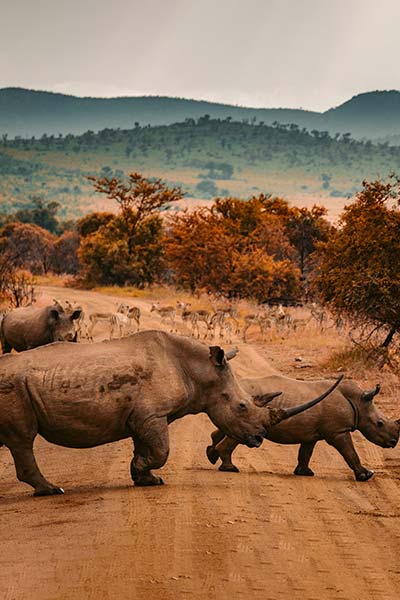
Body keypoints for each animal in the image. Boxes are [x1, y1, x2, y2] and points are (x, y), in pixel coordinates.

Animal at [0, 330, 342, 494]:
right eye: (242, 406)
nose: (259, 439)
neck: (199, 371)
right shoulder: (151, 415)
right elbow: (162, 450)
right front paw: (144, 472)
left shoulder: (142, 416)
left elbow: (147, 448)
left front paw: (145, 478)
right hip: (14, 387)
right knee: (23, 439)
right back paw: (52, 491)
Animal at [206, 376, 400, 482]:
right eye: (380, 423)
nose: (393, 442)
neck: (359, 402)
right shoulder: (338, 431)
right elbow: (350, 452)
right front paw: (366, 476)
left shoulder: (312, 433)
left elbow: (306, 452)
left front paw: (304, 473)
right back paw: (230, 468)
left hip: (237, 406)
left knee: (227, 428)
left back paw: (212, 455)